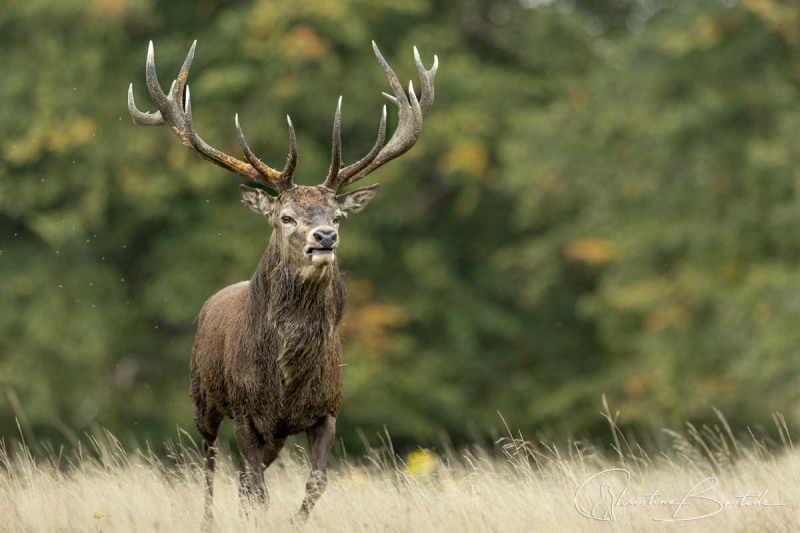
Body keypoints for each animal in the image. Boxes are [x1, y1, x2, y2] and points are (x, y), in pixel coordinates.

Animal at [127, 40, 437, 519]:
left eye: (337, 216)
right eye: (286, 216)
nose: (324, 237)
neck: (286, 381)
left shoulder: (327, 410)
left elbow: (314, 482)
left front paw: (295, 518)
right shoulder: (246, 413)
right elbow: (256, 487)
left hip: (270, 433)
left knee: (240, 476)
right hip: (203, 399)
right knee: (210, 464)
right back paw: (208, 517)